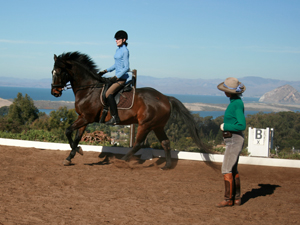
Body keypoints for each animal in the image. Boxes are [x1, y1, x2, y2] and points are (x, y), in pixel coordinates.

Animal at [51, 51, 211, 170]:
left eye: (58, 73)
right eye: (52, 72)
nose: (54, 92)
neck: (89, 89)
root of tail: (165, 98)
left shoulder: (86, 118)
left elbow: (67, 131)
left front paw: (77, 151)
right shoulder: (83, 118)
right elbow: (76, 137)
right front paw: (71, 156)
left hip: (145, 124)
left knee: (138, 144)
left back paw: (122, 160)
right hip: (158, 126)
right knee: (165, 142)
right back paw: (166, 166)